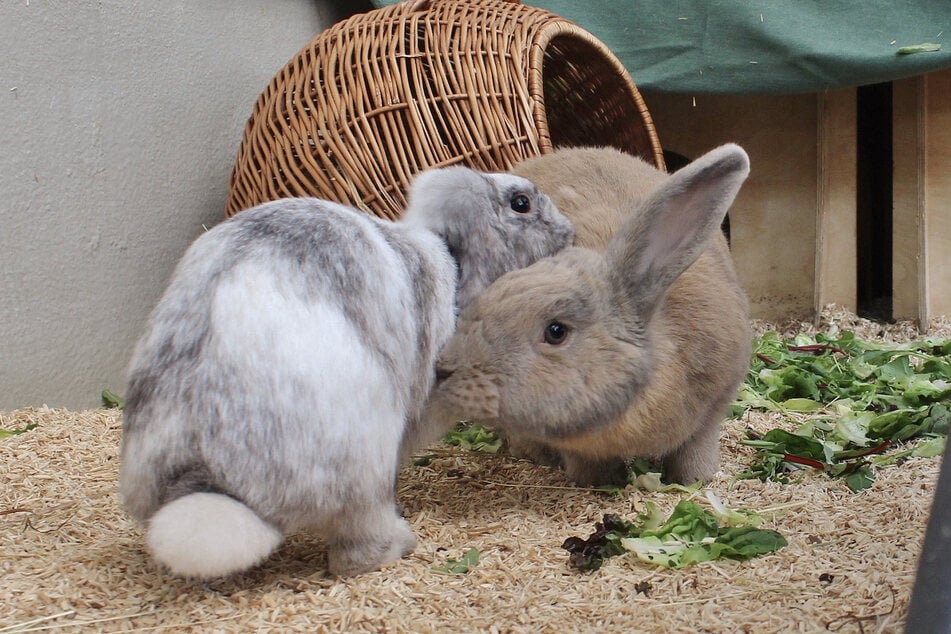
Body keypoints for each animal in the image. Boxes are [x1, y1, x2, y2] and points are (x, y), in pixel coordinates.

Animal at [119, 165, 573, 580]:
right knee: (356, 546)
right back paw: (398, 542)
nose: (568, 231)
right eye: (521, 203)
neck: (452, 258)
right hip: (366, 462)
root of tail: (208, 472)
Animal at [425, 144, 752, 487]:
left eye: (556, 331)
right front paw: (602, 484)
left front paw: (695, 481)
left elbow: (694, 452)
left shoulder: (714, 408)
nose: (446, 369)